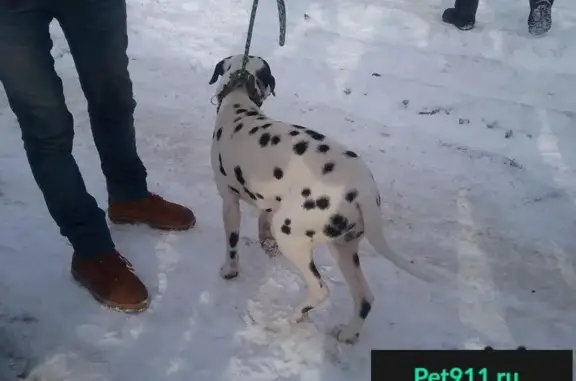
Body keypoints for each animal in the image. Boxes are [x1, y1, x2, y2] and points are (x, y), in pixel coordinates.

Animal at [207, 52, 432, 342]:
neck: (240, 100)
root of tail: (365, 190)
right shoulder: (269, 204)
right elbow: (262, 221)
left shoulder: (229, 201)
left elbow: (232, 244)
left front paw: (229, 270)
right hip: (344, 248)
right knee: (365, 297)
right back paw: (348, 333)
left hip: (292, 237)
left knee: (321, 289)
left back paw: (295, 315)